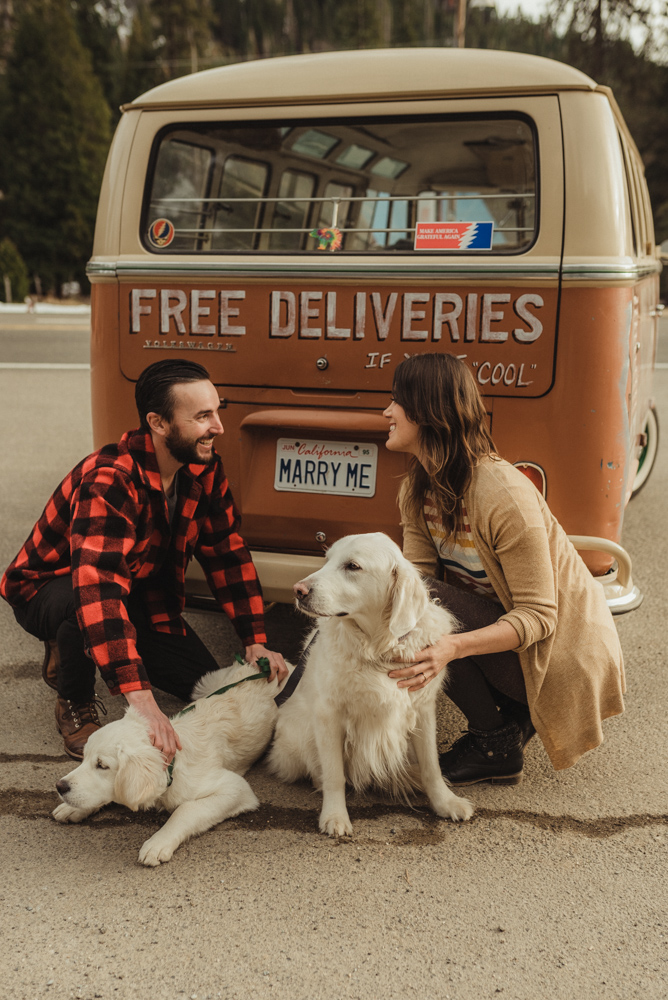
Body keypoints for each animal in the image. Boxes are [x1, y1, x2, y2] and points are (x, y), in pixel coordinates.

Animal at [52, 660, 290, 864]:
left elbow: (186, 810)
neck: (172, 765)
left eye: (102, 765)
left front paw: (158, 843)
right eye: (84, 758)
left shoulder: (235, 788)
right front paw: (70, 808)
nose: (59, 786)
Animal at [268, 532, 474, 836]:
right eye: (326, 560)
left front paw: (445, 802)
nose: (298, 590)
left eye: (353, 566)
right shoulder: (328, 715)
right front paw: (335, 815)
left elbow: (431, 766)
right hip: (299, 733)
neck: (378, 649)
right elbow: (334, 774)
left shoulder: (422, 709)